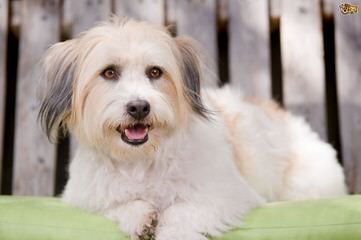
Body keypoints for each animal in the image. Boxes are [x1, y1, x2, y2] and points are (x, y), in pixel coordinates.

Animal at [38, 17, 344, 240]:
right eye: (109, 72)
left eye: (155, 72)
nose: (139, 107)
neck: (142, 160)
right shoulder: (85, 196)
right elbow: (116, 204)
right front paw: (139, 215)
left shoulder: (227, 193)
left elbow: (182, 213)